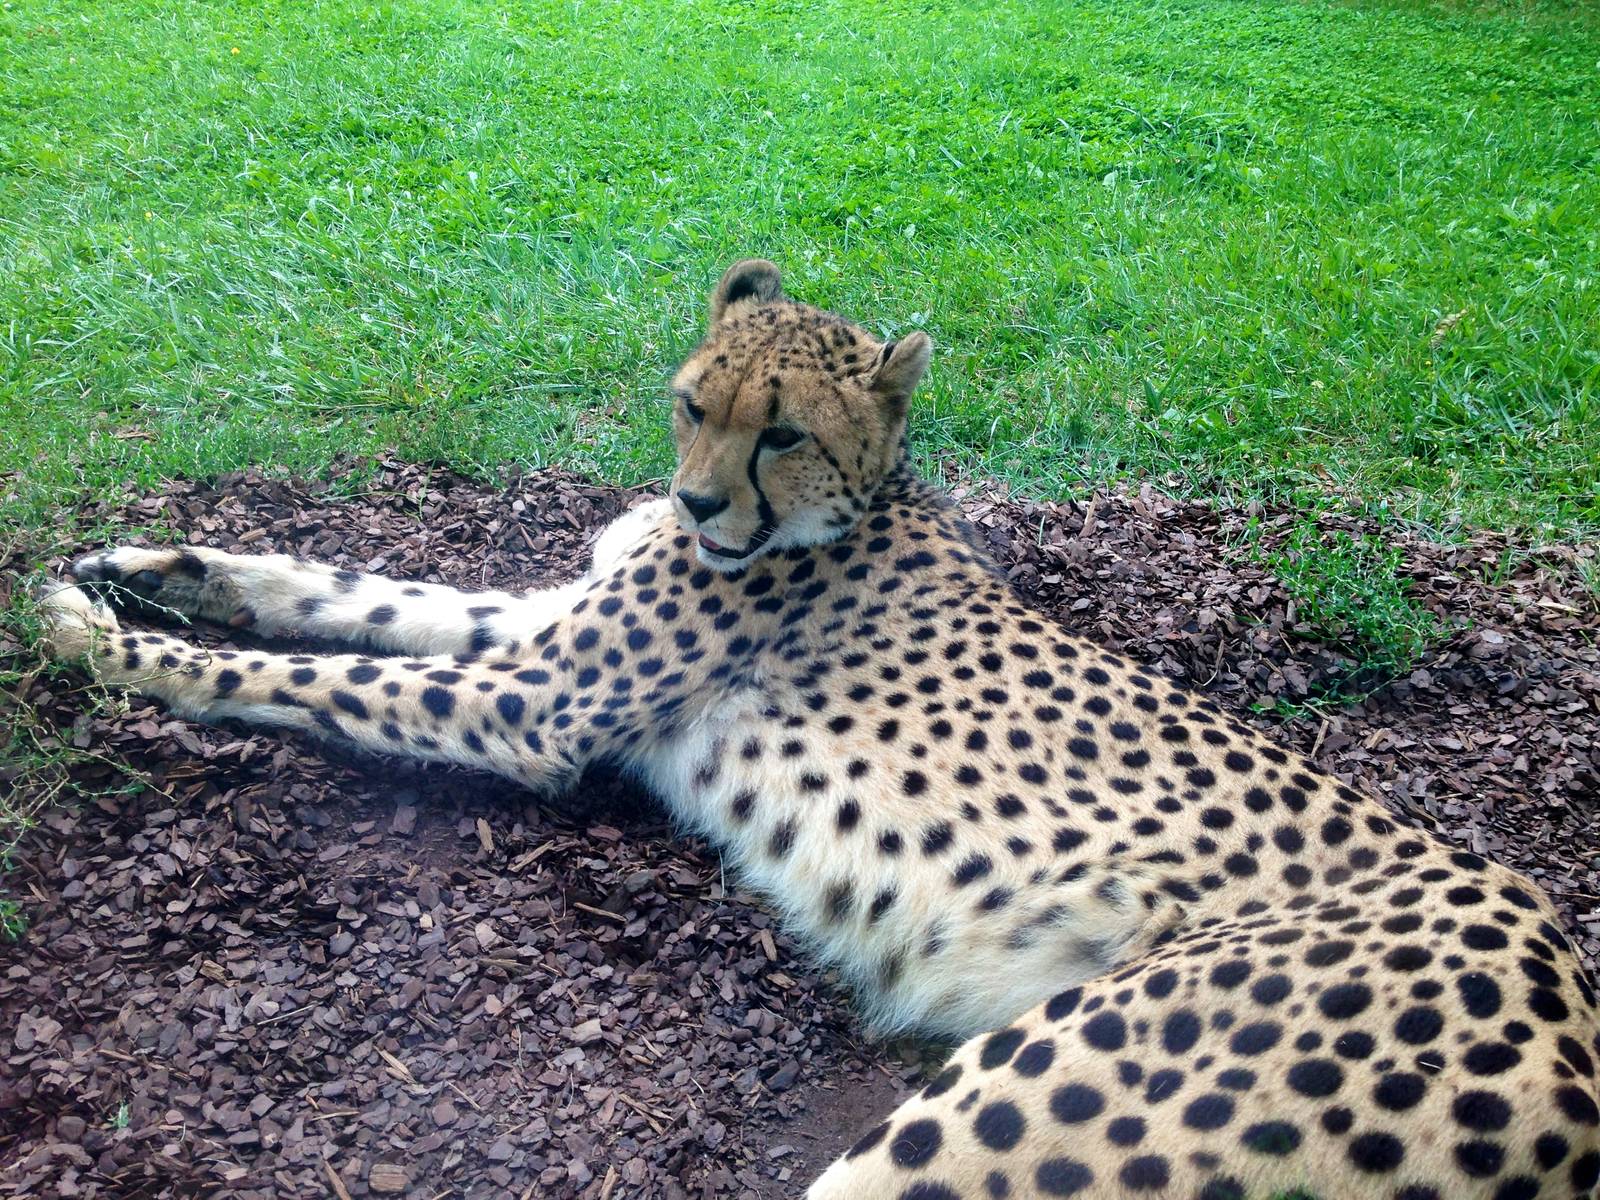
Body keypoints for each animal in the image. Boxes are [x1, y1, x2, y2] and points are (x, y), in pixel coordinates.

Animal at [33, 258, 1600, 1199]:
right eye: (692, 404)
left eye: (782, 432)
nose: (699, 504)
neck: (857, 506)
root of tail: (1567, 993)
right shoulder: (546, 640)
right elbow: (357, 593)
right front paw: (155, 564)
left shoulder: (534, 706)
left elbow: (313, 676)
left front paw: (97, 637)